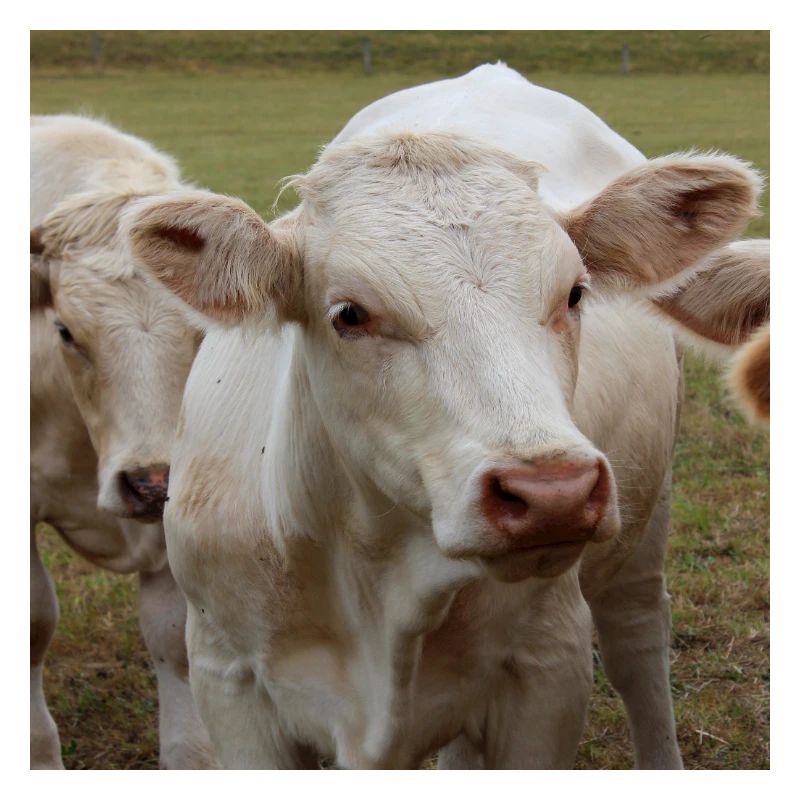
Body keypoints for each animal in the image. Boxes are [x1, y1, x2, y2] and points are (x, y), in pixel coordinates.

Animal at [122, 64, 765, 769]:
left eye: (574, 293)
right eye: (349, 313)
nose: (554, 494)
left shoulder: (548, 666)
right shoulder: (227, 675)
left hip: (642, 530)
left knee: (638, 646)